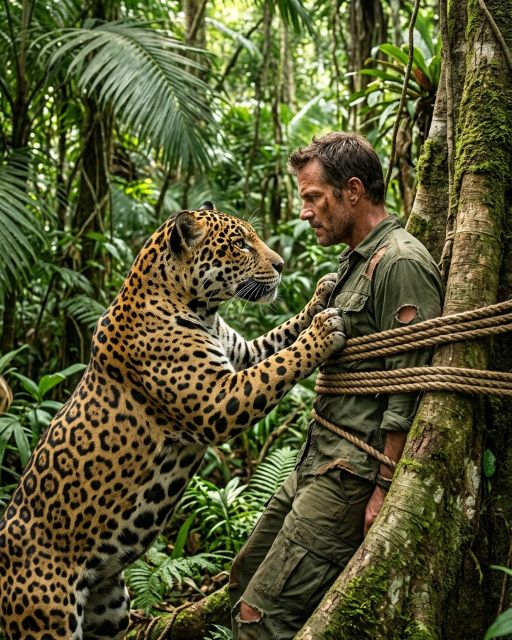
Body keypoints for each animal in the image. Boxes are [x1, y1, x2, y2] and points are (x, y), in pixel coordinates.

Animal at [0, 203, 344, 640]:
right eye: (239, 244)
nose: (282, 265)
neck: (200, 308)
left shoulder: (241, 354)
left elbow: (276, 340)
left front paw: (321, 293)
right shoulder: (217, 400)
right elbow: (280, 364)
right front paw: (322, 331)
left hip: (110, 609)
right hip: (49, 620)